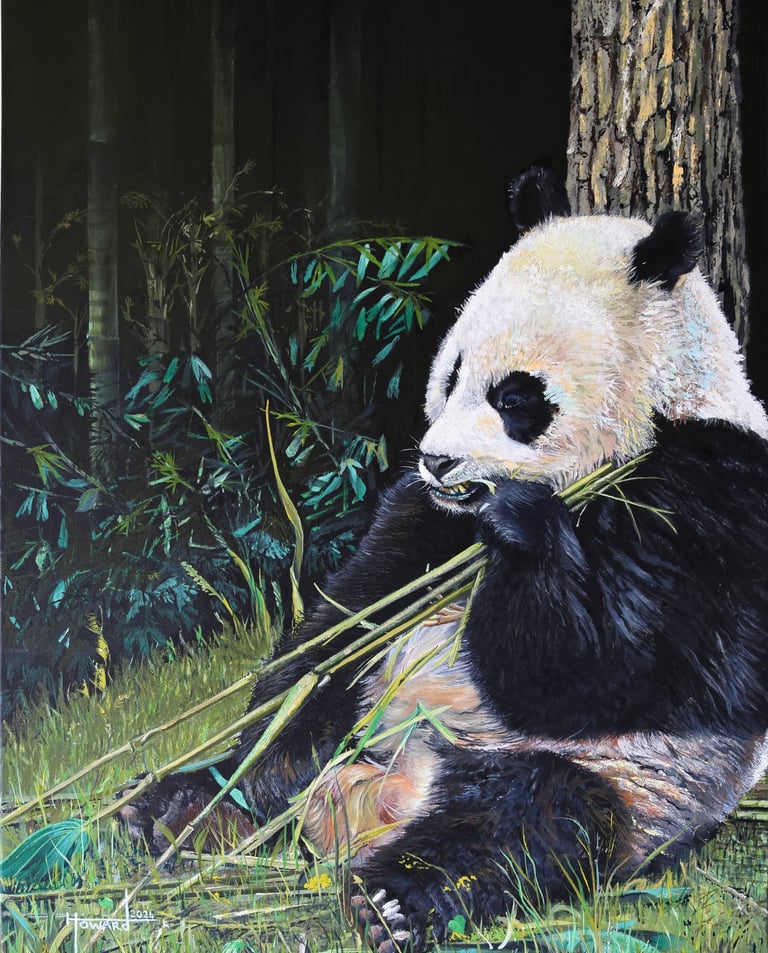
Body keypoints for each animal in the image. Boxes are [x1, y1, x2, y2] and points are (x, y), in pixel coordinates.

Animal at [121, 168, 768, 953]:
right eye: (453, 372)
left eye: (516, 396)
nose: (438, 460)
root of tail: (383, 797)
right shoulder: (424, 521)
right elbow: (344, 621)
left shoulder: (711, 492)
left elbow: (607, 668)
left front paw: (525, 528)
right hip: (366, 718)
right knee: (303, 742)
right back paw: (180, 806)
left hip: (627, 778)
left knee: (527, 817)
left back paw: (391, 900)